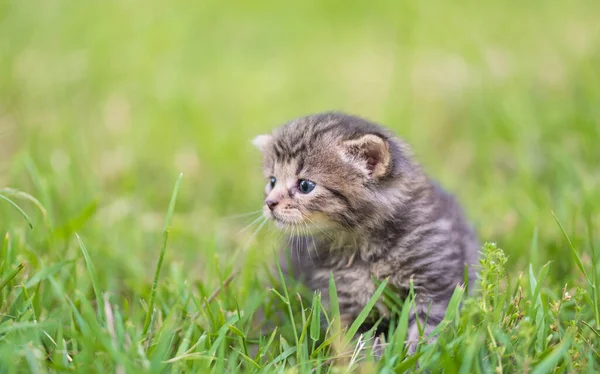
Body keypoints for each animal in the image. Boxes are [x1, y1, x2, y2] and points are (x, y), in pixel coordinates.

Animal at [252, 111, 478, 350]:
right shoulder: (342, 299)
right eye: (272, 181)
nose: (270, 203)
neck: (364, 244)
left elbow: (429, 327)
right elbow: (357, 341)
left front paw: (415, 354)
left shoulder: (436, 279)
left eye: (305, 186)